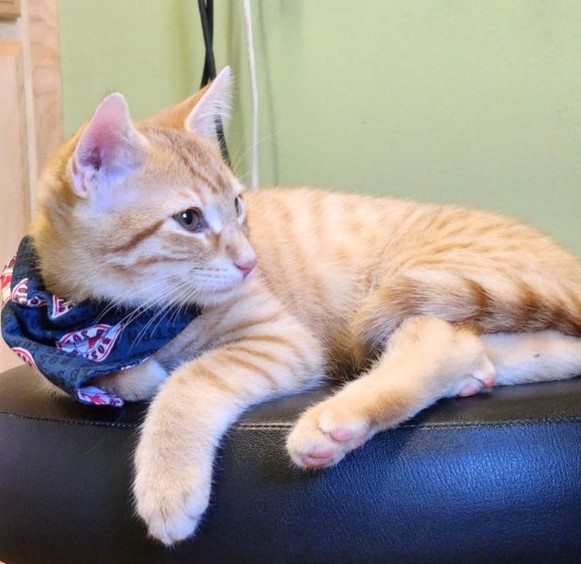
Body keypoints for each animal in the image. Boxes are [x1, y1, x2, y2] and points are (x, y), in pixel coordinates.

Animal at [30, 66, 581, 545]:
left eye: (238, 205)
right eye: (188, 219)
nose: (250, 261)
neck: (132, 315)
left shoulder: (282, 339)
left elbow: (190, 380)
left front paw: (168, 483)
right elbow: (69, 371)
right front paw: (134, 373)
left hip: (414, 278)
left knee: (439, 341)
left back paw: (335, 423)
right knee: (516, 351)